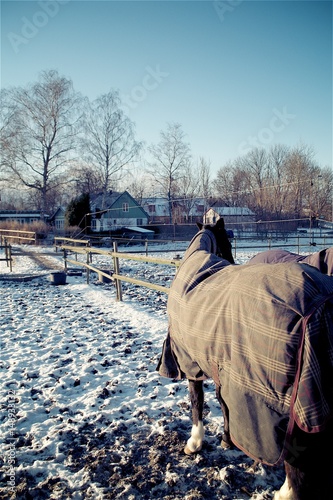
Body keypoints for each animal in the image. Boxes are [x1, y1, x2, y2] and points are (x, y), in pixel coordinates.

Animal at [157, 219, 332, 500]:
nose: (230, 260)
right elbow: (223, 404)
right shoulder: (221, 368)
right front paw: (226, 439)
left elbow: (197, 402)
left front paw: (194, 443)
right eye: (227, 244)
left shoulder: (191, 364)